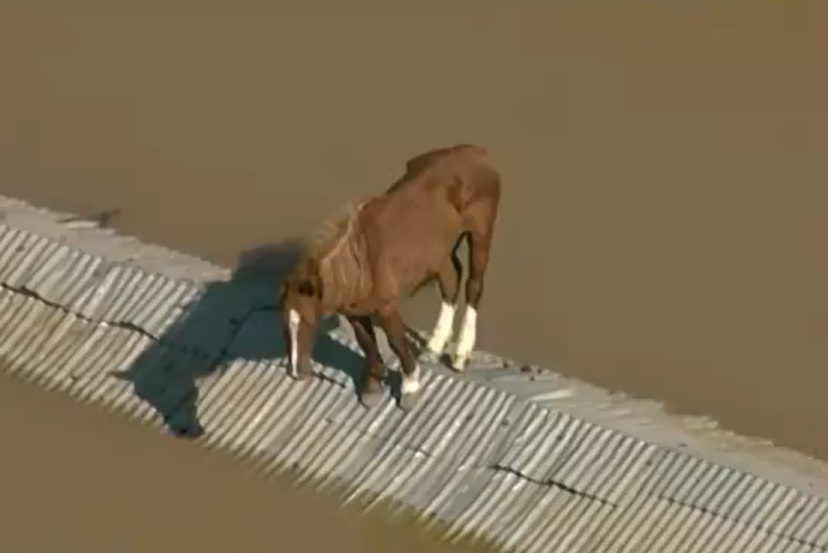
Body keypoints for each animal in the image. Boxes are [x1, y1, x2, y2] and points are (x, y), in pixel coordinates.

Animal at [278, 144, 501, 408]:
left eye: (308, 322)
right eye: (283, 325)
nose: (295, 373)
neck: (358, 262)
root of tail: (478, 152)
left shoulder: (386, 306)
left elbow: (396, 342)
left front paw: (410, 387)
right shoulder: (354, 311)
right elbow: (367, 343)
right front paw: (373, 387)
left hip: (480, 234)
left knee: (474, 285)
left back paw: (460, 355)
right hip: (440, 252)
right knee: (451, 280)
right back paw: (434, 347)